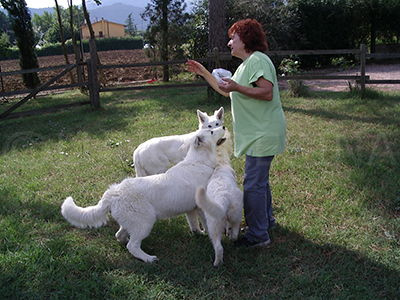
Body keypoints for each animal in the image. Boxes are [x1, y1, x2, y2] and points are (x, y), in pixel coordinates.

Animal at [61, 126, 227, 262]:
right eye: (211, 131)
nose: (224, 126)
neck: (199, 161)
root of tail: (112, 193)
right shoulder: (201, 207)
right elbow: (206, 224)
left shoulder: (190, 208)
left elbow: (194, 224)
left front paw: (199, 233)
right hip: (145, 222)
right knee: (132, 245)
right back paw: (148, 258)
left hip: (131, 221)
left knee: (120, 236)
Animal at [195, 130, 242, 266]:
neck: (219, 164)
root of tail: (223, 201)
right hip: (232, 217)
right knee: (231, 236)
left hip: (218, 224)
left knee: (223, 244)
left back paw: (217, 262)